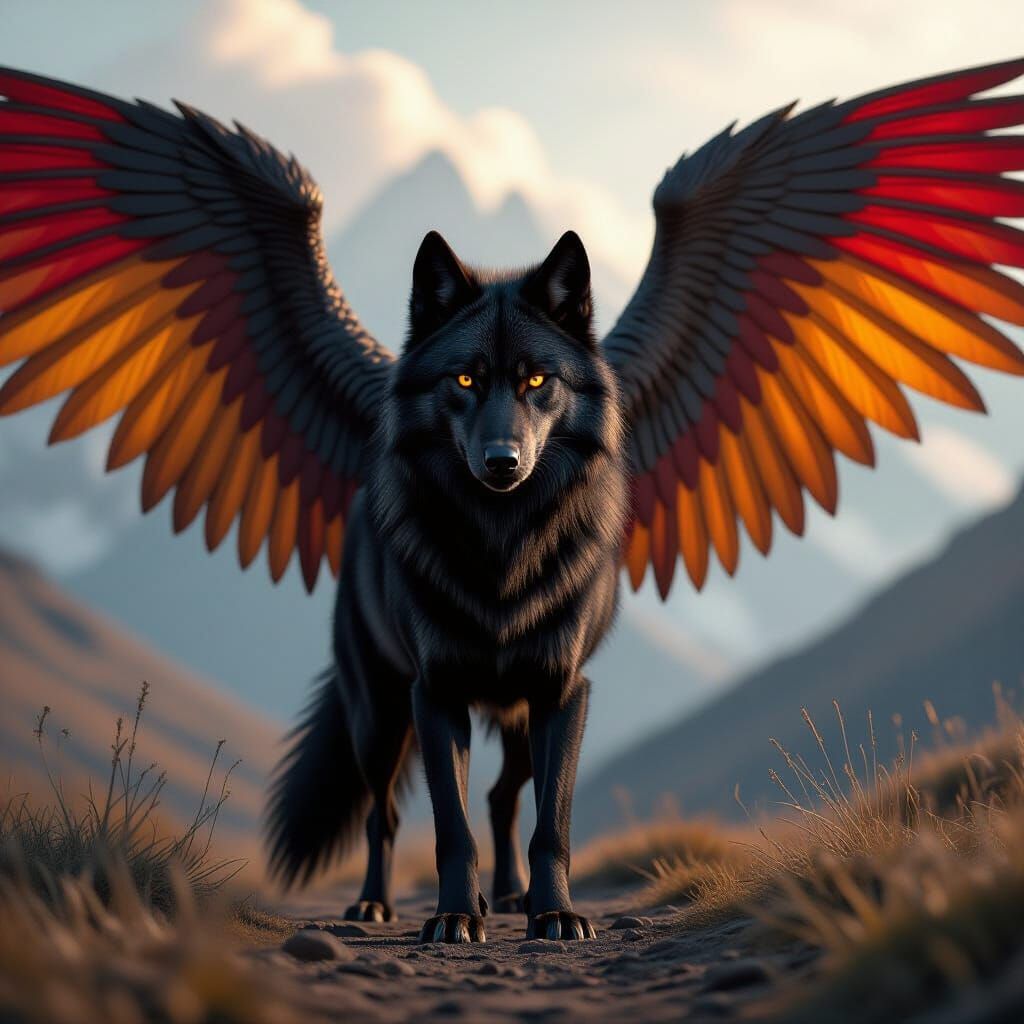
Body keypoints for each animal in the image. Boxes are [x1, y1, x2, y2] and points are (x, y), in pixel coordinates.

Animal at [266, 231, 627, 941]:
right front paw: (456, 917)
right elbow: (450, 828)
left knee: (502, 795)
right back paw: (375, 904)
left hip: (515, 719)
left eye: (536, 380)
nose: (501, 462)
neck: (501, 548)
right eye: (464, 380)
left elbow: (552, 822)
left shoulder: (562, 692)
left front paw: (555, 914)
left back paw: (512, 895)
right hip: (379, 721)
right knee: (383, 815)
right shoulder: (435, 695)